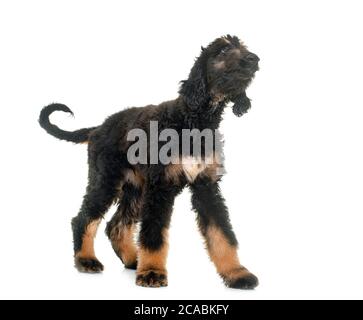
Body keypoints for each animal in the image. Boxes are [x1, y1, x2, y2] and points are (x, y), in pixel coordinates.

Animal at [39, 35, 262, 290]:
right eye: (223, 50)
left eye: (243, 47)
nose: (254, 59)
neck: (193, 120)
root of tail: (98, 128)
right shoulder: (160, 187)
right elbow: (154, 233)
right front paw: (153, 272)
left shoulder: (206, 186)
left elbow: (222, 232)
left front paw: (236, 273)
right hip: (106, 180)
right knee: (83, 218)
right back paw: (86, 259)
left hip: (135, 188)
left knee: (115, 225)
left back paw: (132, 259)